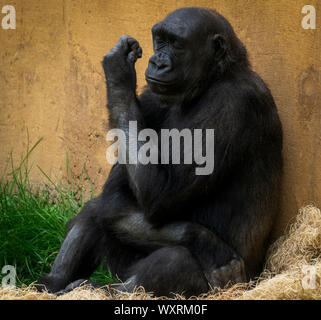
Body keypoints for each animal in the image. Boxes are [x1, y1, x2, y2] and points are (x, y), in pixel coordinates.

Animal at [38, 6, 282, 298]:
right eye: (160, 39)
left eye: (175, 43)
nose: (157, 62)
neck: (208, 82)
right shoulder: (150, 98)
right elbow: (117, 190)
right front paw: (204, 240)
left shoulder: (231, 103)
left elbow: (160, 194)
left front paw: (118, 70)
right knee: (102, 211)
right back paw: (56, 281)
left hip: (233, 286)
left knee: (175, 259)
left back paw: (99, 289)